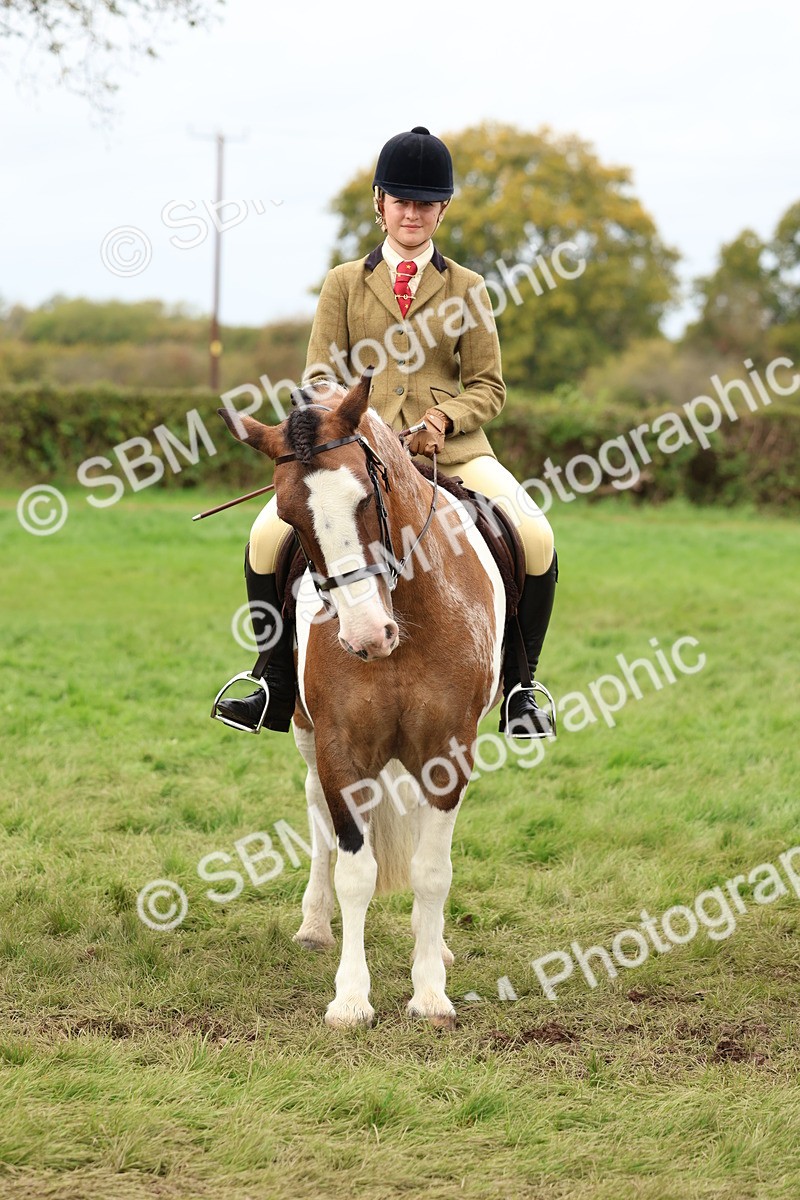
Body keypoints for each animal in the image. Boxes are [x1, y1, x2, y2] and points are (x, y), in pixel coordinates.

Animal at [217, 370, 507, 1029]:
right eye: (289, 516)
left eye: (365, 496)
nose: (366, 636)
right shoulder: (339, 747)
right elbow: (355, 869)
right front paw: (350, 998)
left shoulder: (448, 751)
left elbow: (431, 871)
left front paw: (430, 995)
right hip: (306, 735)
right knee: (316, 813)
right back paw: (314, 925)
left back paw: (436, 945)